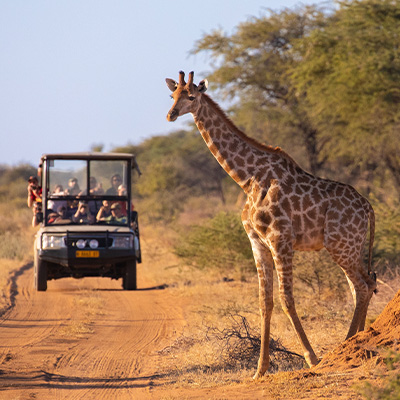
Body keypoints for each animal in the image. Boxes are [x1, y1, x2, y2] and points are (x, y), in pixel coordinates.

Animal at [166, 70, 378, 380]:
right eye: (172, 95)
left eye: (191, 96)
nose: (170, 114)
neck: (247, 179)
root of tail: (369, 208)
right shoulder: (257, 243)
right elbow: (264, 302)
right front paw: (260, 369)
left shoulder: (281, 240)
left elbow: (286, 298)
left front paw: (312, 358)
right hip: (351, 246)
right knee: (364, 285)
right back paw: (359, 339)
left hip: (340, 245)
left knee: (362, 286)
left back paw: (347, 344)